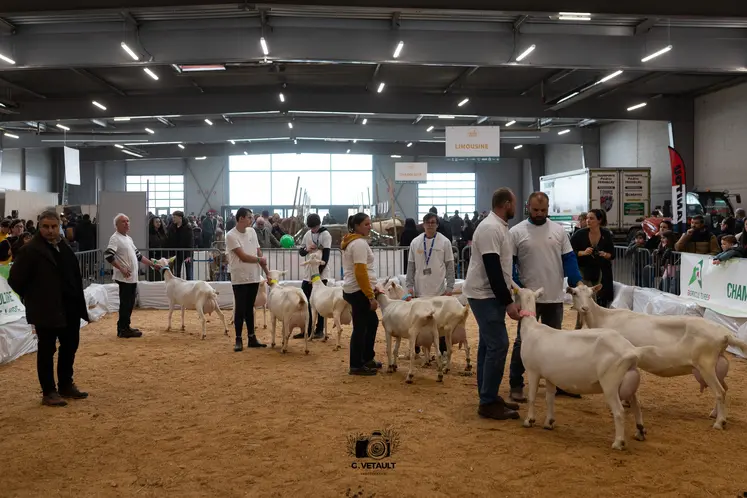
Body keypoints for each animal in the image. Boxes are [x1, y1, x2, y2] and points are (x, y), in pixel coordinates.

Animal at [512, 284, 652, 452]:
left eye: (516, 294)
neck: (532, 329)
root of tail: (631, 350)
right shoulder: (551, 376)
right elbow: (549, 398)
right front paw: (549, 422)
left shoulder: (533, 370)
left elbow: (532, 397)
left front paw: (529, 420)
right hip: (628, 380)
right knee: (636, 405)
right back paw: (640, 431)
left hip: (610, 382)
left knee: (619, 411)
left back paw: (618, 442)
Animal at [568, 282, 744, 430]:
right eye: (575, 293)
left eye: (591, 294)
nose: (585, 308)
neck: (604, 317)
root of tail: (725, 334)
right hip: (717, 365)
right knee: (725, 389)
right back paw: (715, 414)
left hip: (706, 365)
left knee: (720, 392)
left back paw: (719, 422)